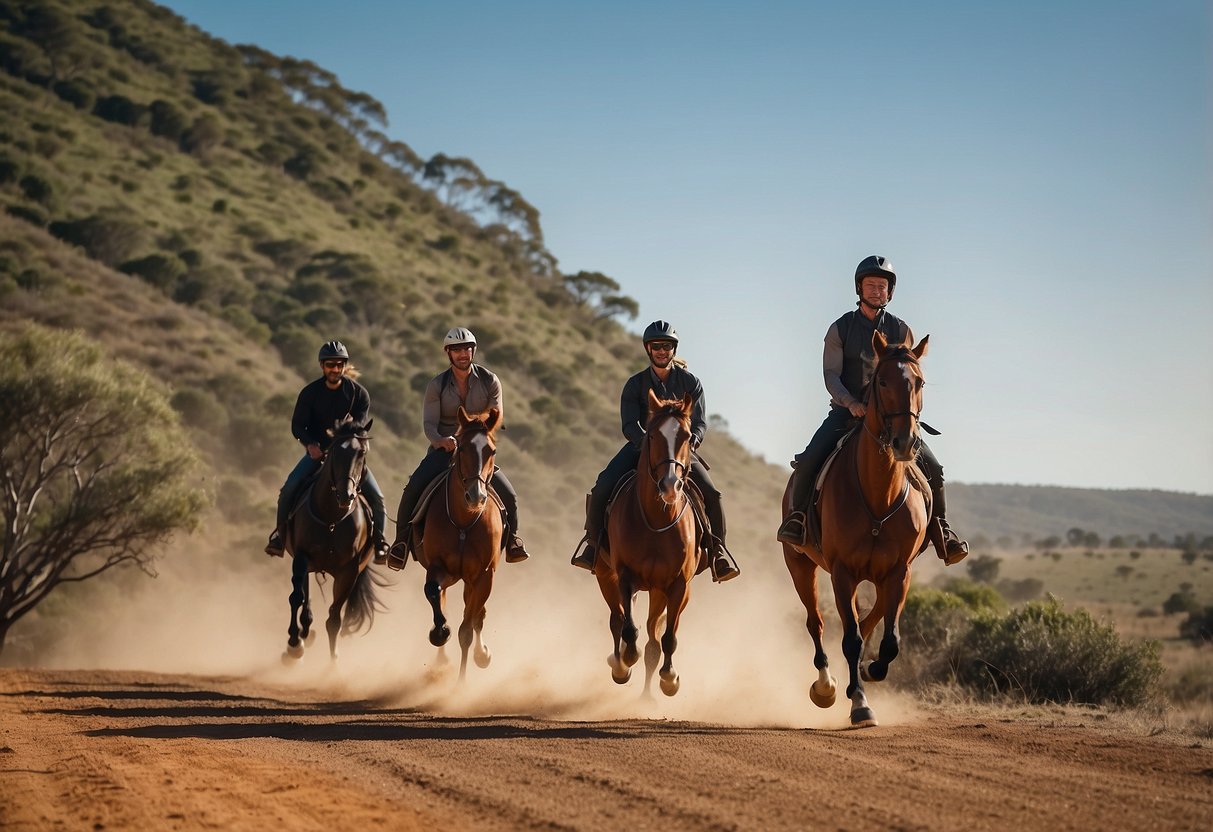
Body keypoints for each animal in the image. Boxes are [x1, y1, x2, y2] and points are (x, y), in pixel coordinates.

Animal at [283, 417, 378, 664]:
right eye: (335, 451)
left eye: (362, 452)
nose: (347, 495)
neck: (332, 519)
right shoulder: (301, 556)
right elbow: (296, 597)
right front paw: (294, 644)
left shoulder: (349, 571)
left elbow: (334, 617)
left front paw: (333, 662)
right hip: (307, 563)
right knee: (304, 595)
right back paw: (304, 633)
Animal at [409, 407, 499, 679]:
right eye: (461, 448)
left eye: (491, 451)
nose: (476, 496)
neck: (464, 522)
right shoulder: (439, 568)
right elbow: (433, 592)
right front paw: (440, 633)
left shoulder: (483, 576)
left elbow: (468, 629)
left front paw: (462, 680)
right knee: (444, 600)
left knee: (477, 615)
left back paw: (482, 654)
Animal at [596, 390, 703, 698]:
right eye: (653, 435)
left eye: (687, 436)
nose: (670, 485)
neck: (657, 521)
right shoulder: (625, 576)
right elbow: (629, 629)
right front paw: (626, 661)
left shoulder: (679, 585)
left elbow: (667, 638)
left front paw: (670, 679)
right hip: (606, 575)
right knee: (617, 620)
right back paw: (619, 665)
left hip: (659, 592)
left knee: (653, 638)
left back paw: (647, 696)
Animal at [781, 332, 931, 727]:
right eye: (883, 382)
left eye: (920, 382)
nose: (906, 442)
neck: (878, 496)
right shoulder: (842, 573)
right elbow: (849, 639)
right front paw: (859, 703)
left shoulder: (899, 572)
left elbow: (889, 639)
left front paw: (871, 671)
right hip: (800, 565)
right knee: (816, 623)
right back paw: (827, 686)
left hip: (880, 577)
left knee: (870, 618)